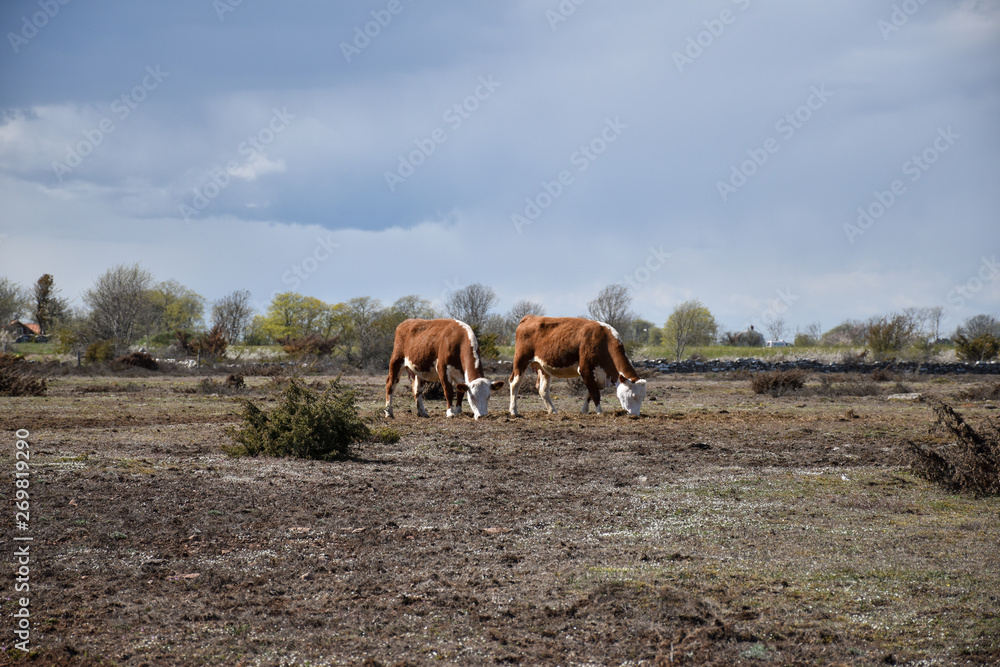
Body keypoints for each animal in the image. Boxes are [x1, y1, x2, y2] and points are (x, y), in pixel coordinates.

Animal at [508, 315, 647, 416]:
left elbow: (589, 393)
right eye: (633, 396)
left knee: (543, 389)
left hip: (543, 368)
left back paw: (552, 411)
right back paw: (514, 411)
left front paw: (584, 411)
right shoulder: (585, 369)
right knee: (515, 383)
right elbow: (595, 393)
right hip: (520, 361)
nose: (636, 415)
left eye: (642, 398)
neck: (603, 340)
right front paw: (600, 412)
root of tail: (530, 317)